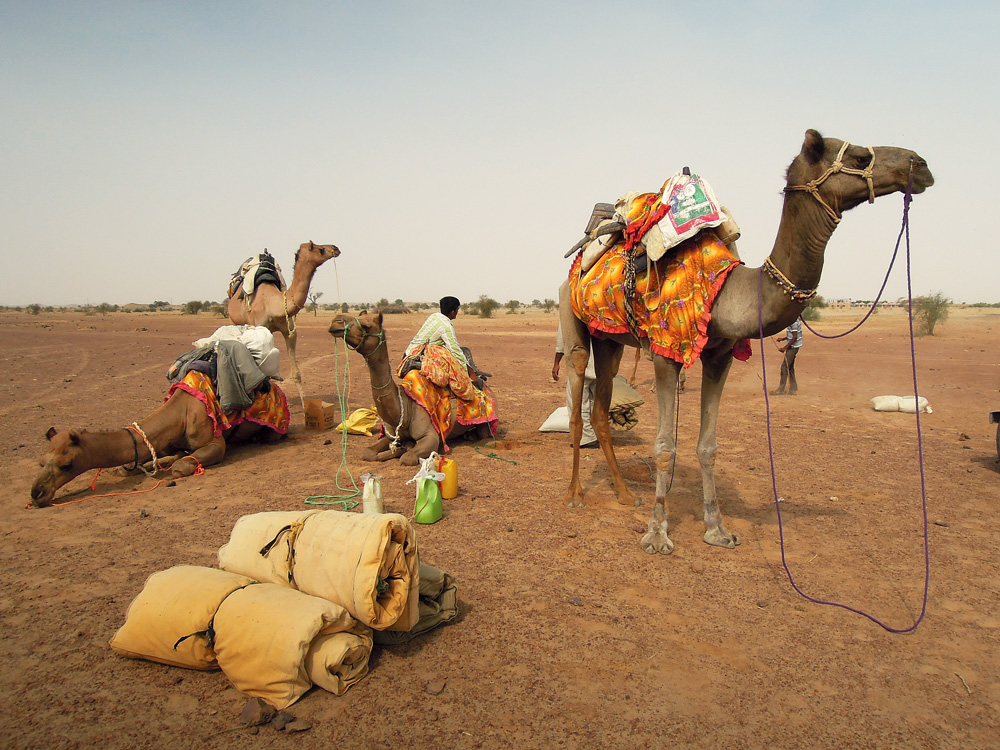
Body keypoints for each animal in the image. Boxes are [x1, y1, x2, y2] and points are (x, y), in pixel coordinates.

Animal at [227, 242, 340, 406]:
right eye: (319, 248)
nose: (335, 248)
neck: (274, 304)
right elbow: (264, 374)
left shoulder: (289, 331)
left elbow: (296, 373)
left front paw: (306, 406)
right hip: (234, 320)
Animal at [328, 310, 488, 464]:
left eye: (366, 326)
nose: (336, 321)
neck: (404, 407)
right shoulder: (390, 435)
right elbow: (368, 452)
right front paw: (400, 447)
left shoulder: (431, 436)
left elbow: (407, 458)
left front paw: (404, 449)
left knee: (483, 433)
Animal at [564, 129, 936, 556]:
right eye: (859, 156)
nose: (920, 165)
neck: (727, 291)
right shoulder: (665, 352)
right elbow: (664, 447)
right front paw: (657, 534)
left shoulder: (720, 356)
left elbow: (708, 447)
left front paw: (717, 529)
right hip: (572, 320)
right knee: (577, 403)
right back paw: (575, 495)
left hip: (610, 338)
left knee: (601, 406)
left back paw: (626, 495)